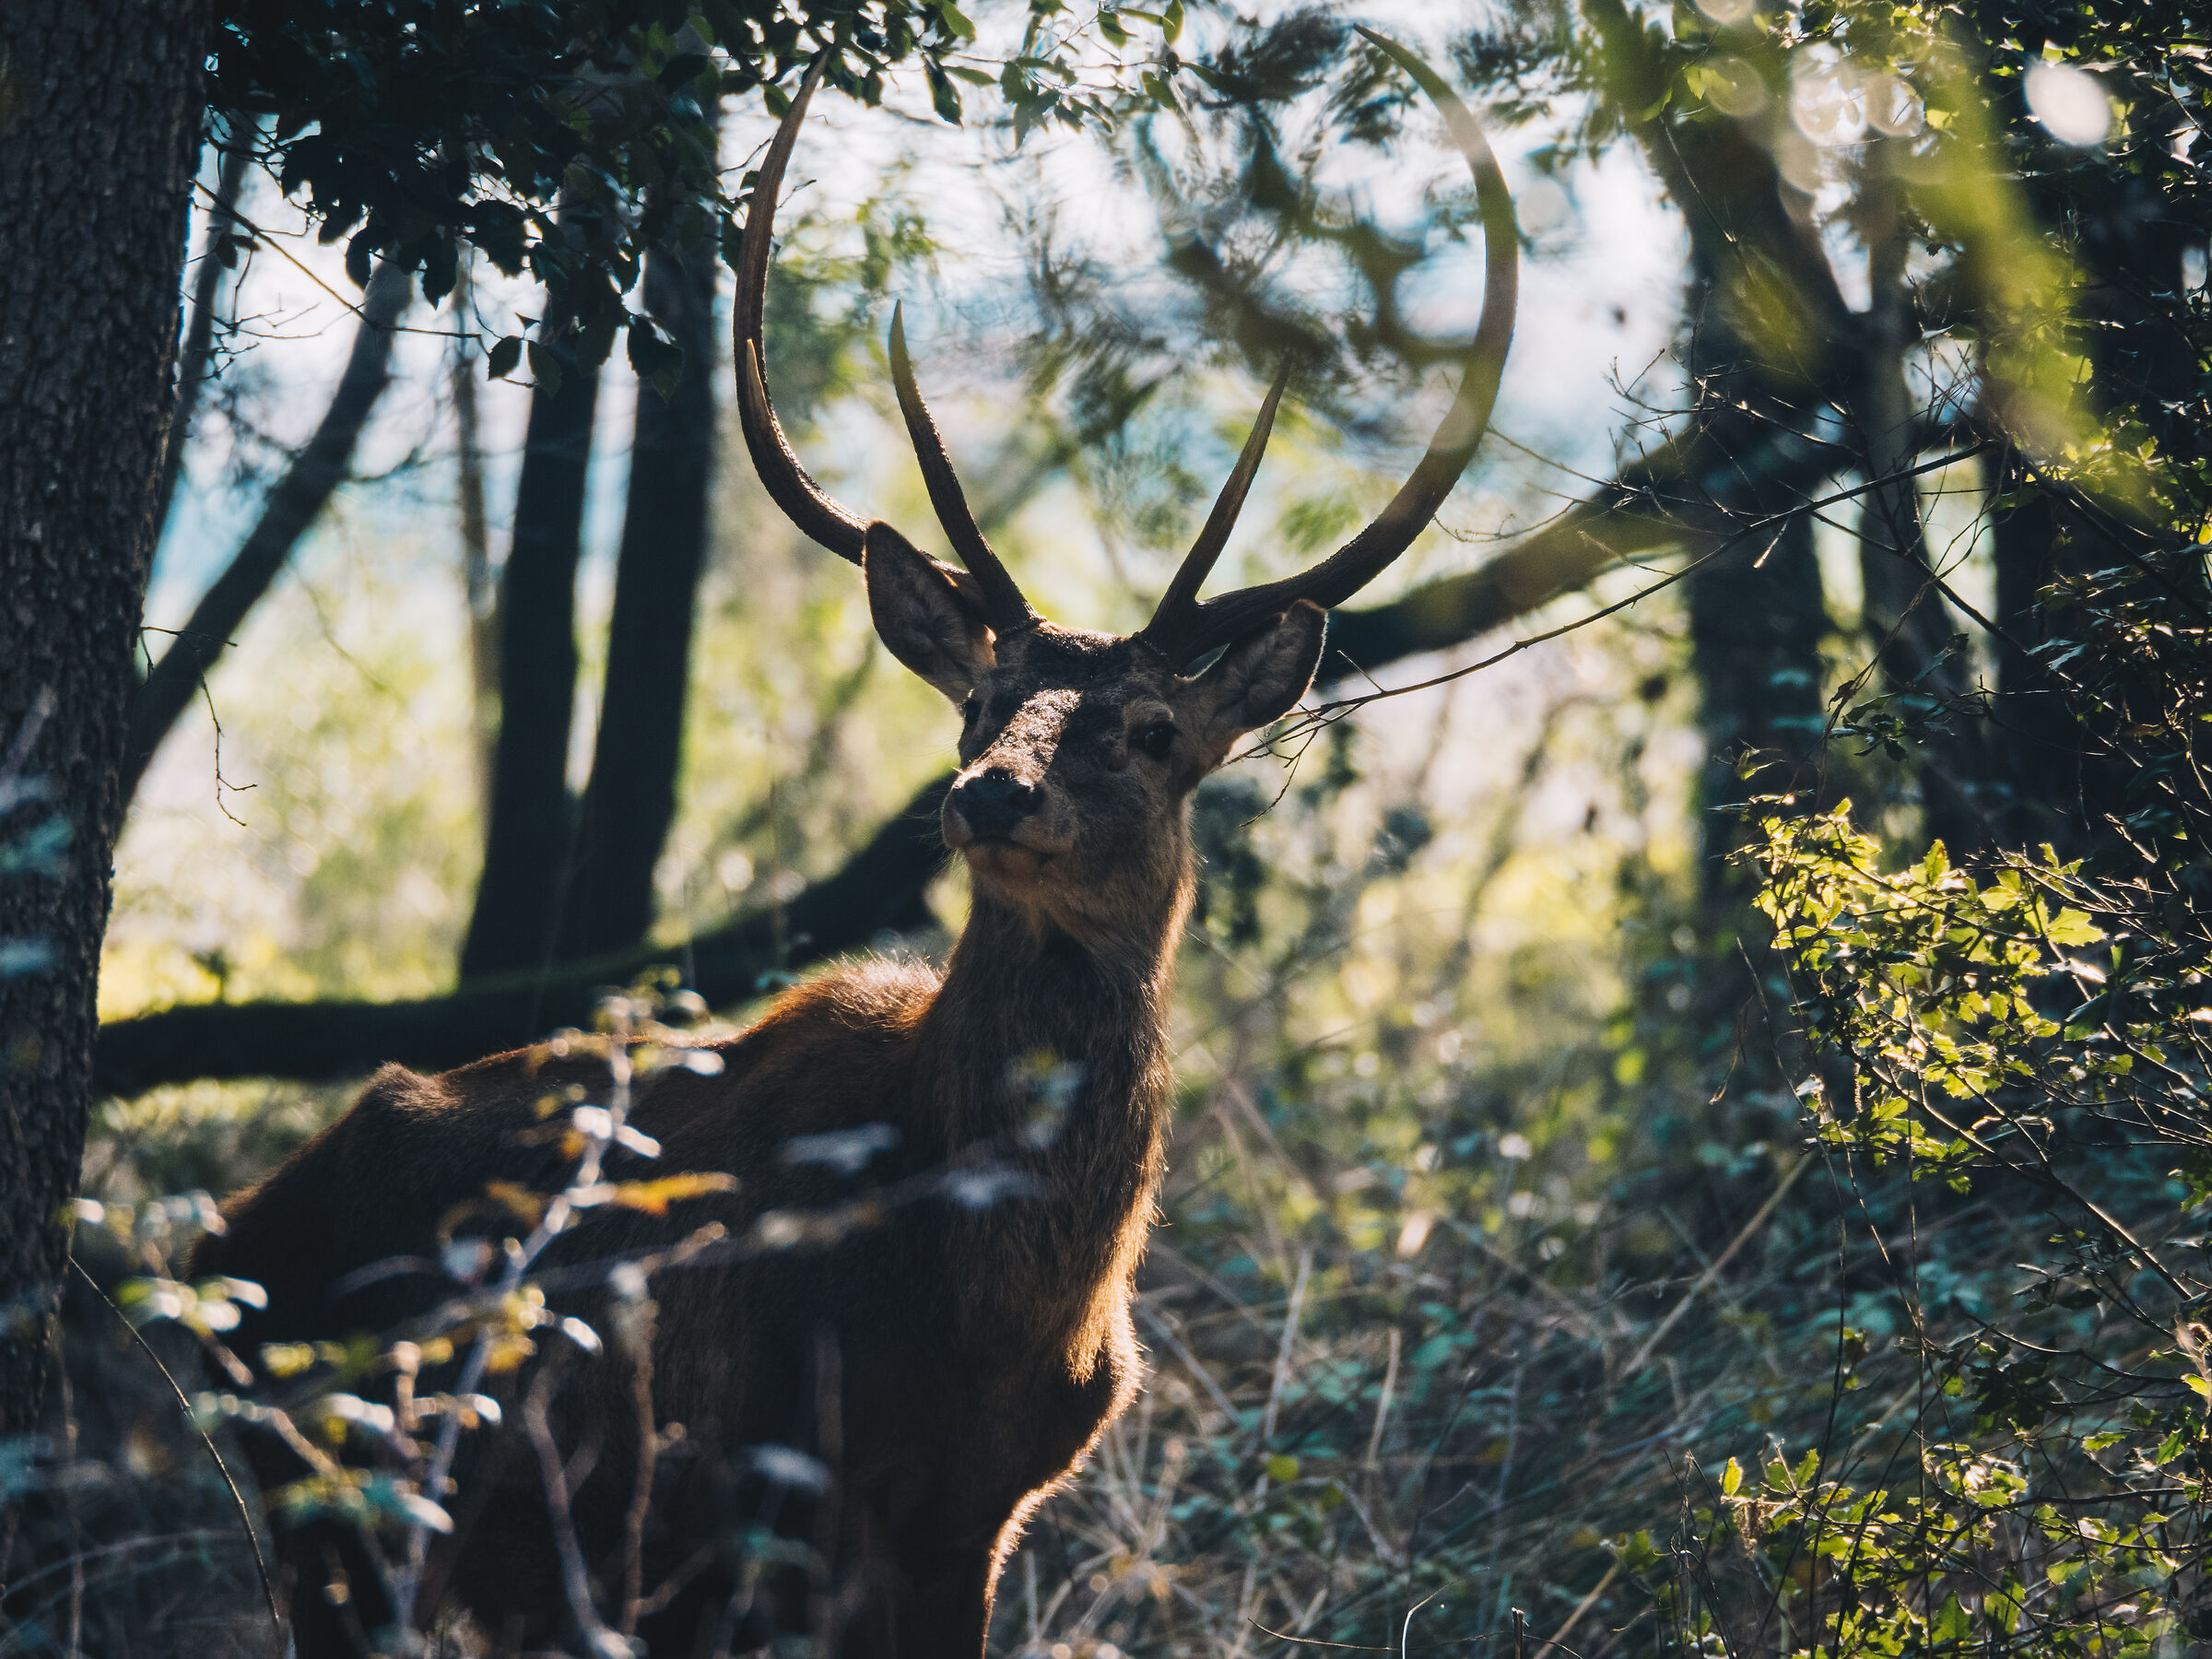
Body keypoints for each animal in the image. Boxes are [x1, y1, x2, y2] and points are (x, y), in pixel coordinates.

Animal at [195, 32, 1515, 1659]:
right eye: (985, 702)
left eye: (1152, 728)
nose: (992, 796)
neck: (990, 1317)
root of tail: (215, 1242)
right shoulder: (736, 1499)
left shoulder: (981, 1516)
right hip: (347, 1502)